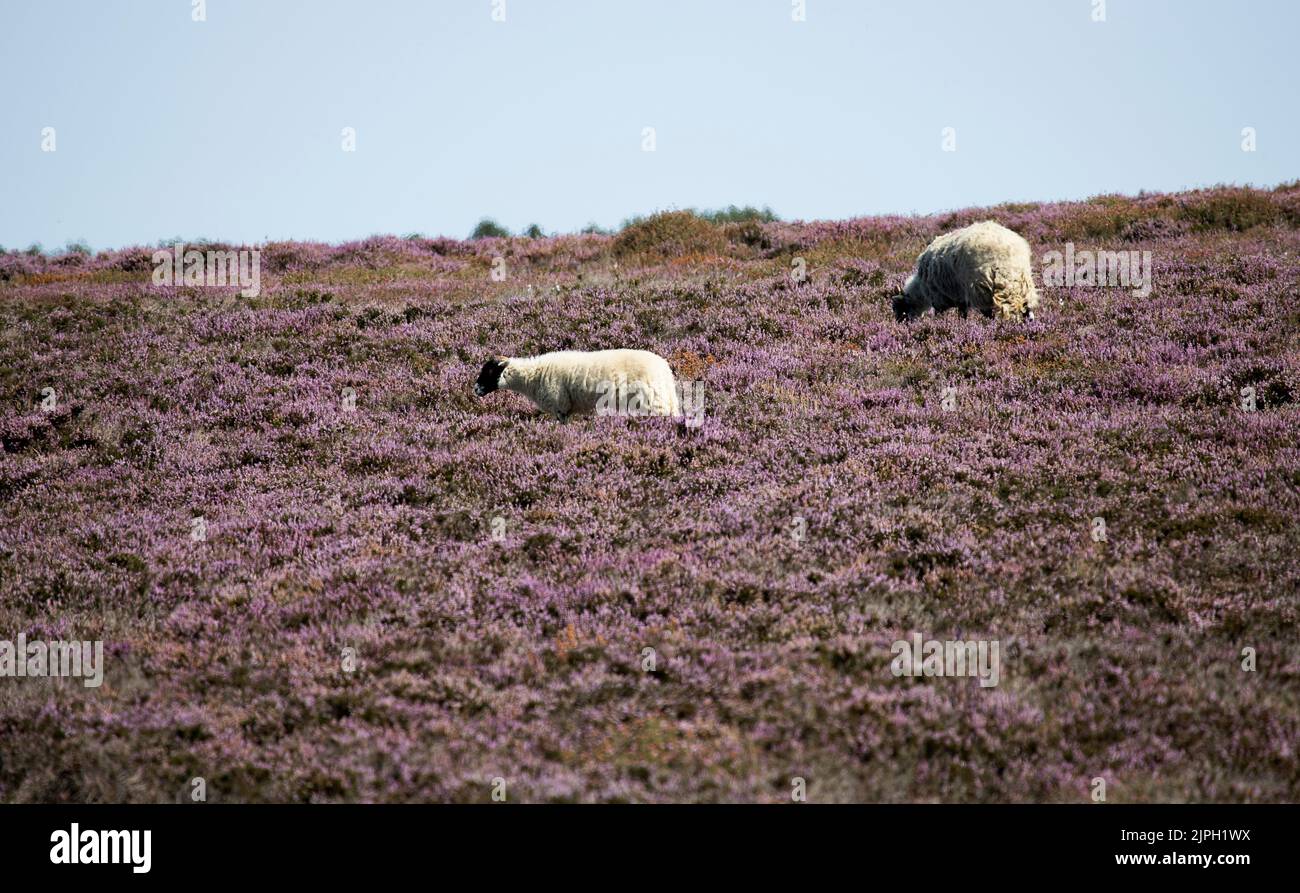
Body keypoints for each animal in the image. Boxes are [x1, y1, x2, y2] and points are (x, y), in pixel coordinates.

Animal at [475, 348, 681, 421]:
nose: (475, 389)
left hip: (653, 402)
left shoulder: (560, 406)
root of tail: (664, 368)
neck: (533, 375)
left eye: (490, 372)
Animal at [889, 219, 1040, 321]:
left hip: (982, 288)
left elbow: (944, 315)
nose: (900, 324)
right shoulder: (960, 298)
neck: (920, 289)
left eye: (898, 307)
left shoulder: (939, 299)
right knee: (1028, 310)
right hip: (1023, 283)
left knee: (990, 313)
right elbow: (963, 314)